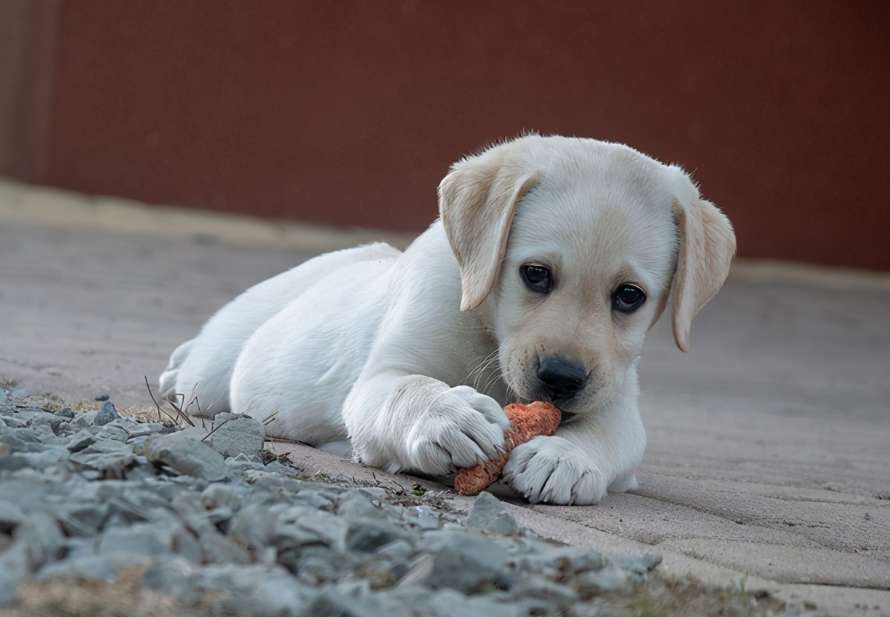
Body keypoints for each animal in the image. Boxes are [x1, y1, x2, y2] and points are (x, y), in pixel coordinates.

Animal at [160, 136, 736, 506]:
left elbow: (608, 435)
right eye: (535, 274)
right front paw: (448, 416)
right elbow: (408, 388)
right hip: (215, 371)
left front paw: (565, 458)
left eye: (629, 296)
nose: (561, 378)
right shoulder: (380, 379)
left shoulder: (617, 400)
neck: (487, 330)